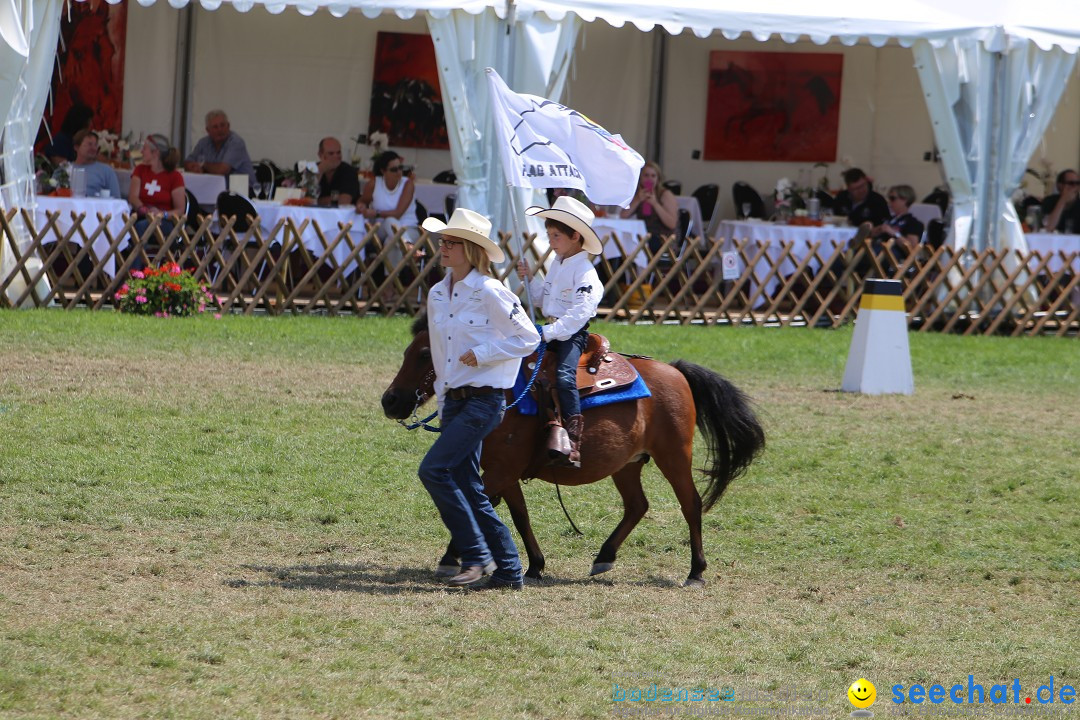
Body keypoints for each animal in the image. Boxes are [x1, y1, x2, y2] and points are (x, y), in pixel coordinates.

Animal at [384, 317, 764, 587]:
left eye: (424, 354)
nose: (390, 400)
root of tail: (675, 371)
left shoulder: (502, 471)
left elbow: (480, 509)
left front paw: (453, 559)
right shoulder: (504, 472)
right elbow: (518, 515)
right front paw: (534, 565)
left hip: (674, 456)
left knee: (691, 504)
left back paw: (696, 571)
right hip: (626, 464)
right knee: (637, 505)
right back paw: (604, 556)